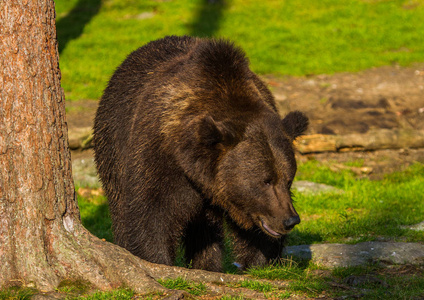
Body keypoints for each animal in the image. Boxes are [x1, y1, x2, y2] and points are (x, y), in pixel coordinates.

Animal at [93, 35, 308, 272]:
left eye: (288, 180)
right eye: (265, 181)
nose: (290, 220)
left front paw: (258, 262)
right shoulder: (158, 156)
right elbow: (150, 214)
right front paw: (156, 260)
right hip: (113, 145)